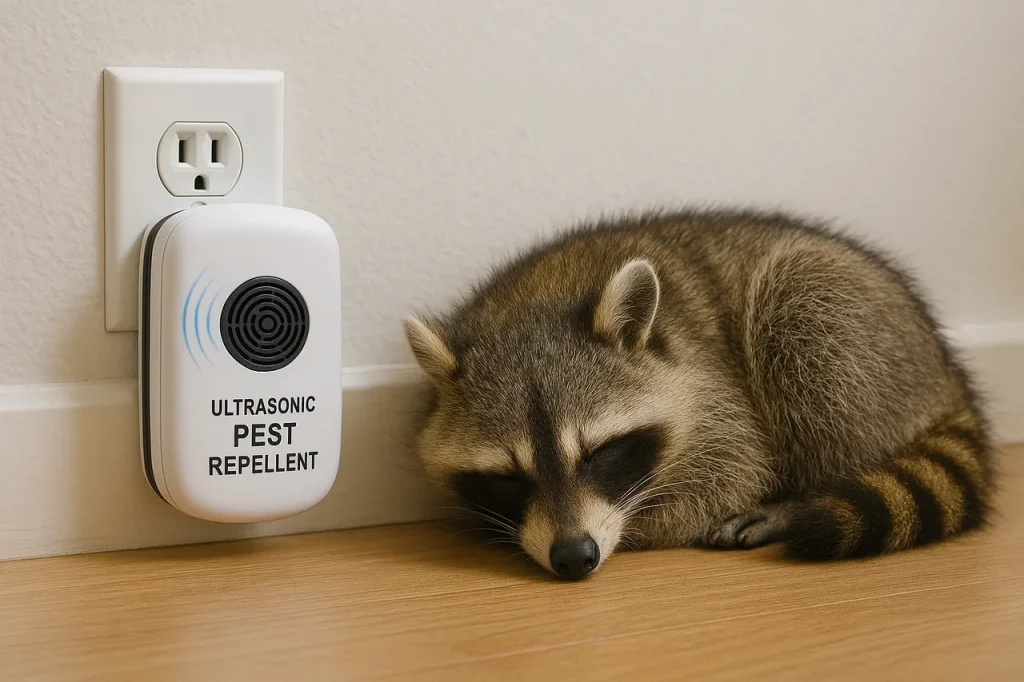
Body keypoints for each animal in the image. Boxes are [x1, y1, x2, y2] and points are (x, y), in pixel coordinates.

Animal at [403, 208, 996, 580]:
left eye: (598, 454)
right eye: (508, 477)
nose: (574, 556)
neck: (528, 303)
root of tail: (945, 367)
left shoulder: (711, 387)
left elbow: (734, 473)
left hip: (851, 323)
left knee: (801, 315)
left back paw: (802, 498)